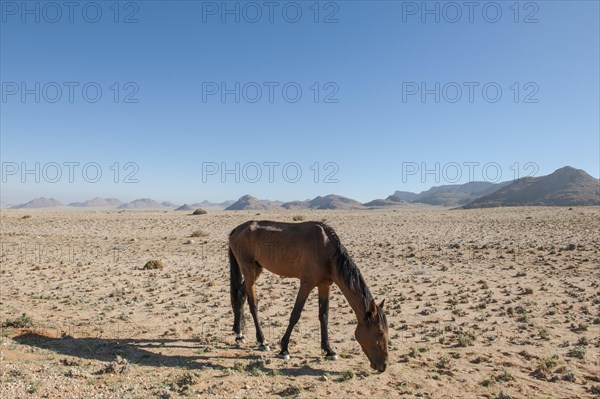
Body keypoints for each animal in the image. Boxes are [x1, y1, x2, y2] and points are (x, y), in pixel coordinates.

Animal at [226, 220, 390, 374]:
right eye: (380, 332)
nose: (384, 365)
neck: (326, 249)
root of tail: (236, 230)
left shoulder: (325, 285)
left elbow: (324, 316)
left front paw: (329, 350)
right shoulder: (306, 283)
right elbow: (295, 314)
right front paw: (284, 349)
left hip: (257, 268)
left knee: (240, 297)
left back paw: (239, 334)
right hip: (248, 269)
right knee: (253, 304)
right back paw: (262, 342)